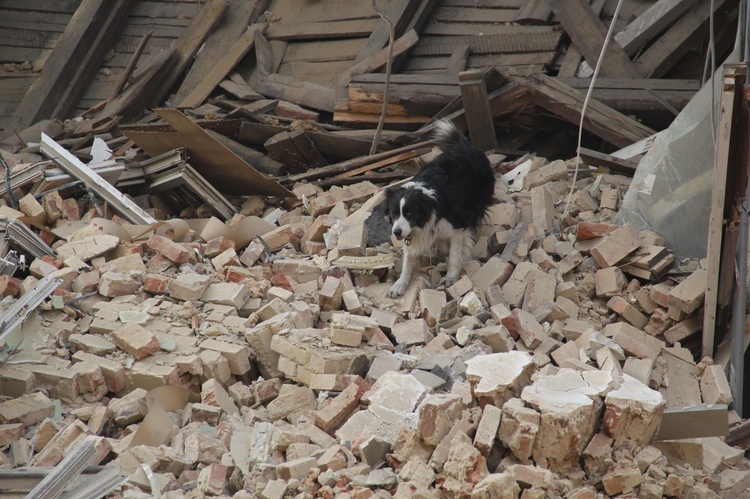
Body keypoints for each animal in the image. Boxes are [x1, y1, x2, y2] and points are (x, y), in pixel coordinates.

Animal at [384, 122, 496, 296]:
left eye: (409, 213)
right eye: (394, 214)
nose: (396, 233)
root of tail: (467, 148)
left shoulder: (456, 227)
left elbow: (455, 254)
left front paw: (450, 278)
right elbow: (407, 260)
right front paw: (399, 285)